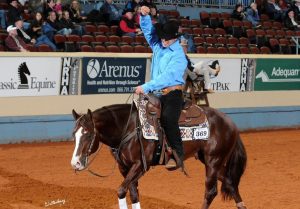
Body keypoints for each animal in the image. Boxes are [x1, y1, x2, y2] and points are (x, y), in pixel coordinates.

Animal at [71, 103, 247, 209]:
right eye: (74, 134)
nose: (75, 163)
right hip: (212, 161)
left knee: (210, 192)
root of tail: (229, 122)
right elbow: (134, 194)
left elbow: (121, 191)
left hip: (213, 161)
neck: (129, 128)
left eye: (88, 134)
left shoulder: (140, 165)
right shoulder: (125, 168)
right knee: (230, 183)